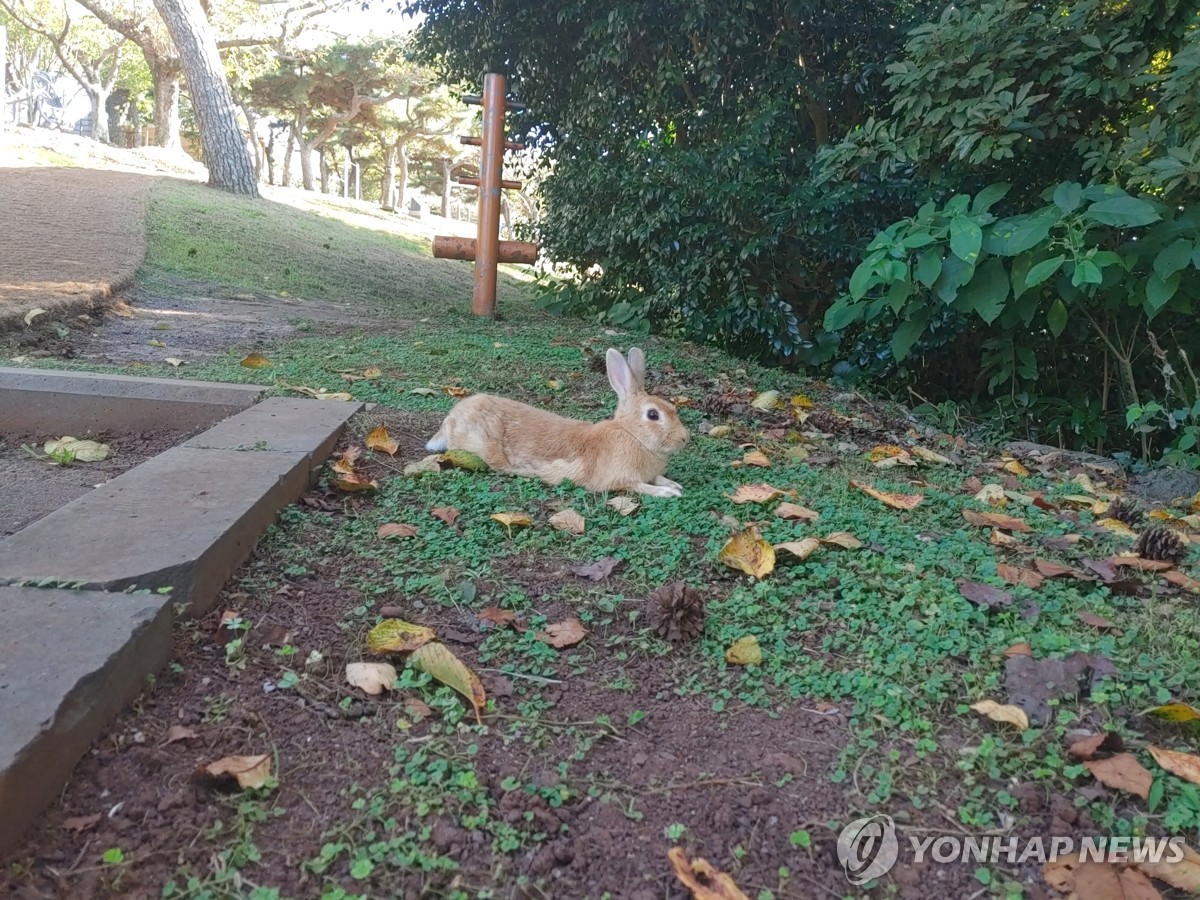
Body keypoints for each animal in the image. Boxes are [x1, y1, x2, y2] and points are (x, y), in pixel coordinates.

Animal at [424, 348, 691, 501]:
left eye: (672, 408)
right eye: (653, 415)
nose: (684, 439)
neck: (632, 434)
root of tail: (453, 417)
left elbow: (657, 478)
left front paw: (674, 484)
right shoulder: (620, 480)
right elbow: (640, 487)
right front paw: (668, 493)